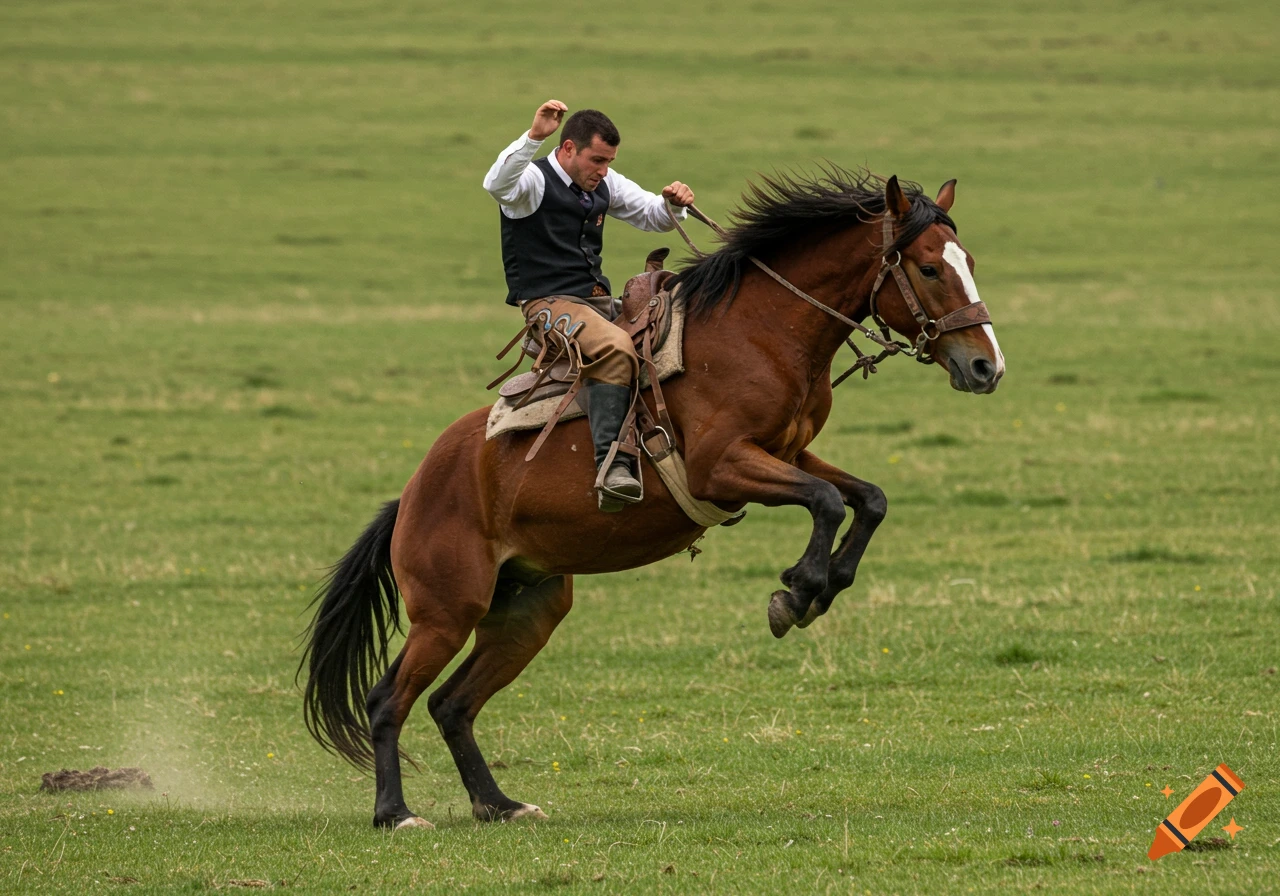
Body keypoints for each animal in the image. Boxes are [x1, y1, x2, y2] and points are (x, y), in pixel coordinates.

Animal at [299, 169, 1005, 830]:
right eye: (929, 267)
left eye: (969, 262)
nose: (986, 367)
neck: (759, 332)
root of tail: (413, 494)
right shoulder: (722, 467)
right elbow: (829, 501)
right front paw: (799, 592)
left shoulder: (787, 453)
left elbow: (867, 498)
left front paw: (823, 587)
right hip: (448, 611)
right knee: (388, 700)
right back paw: (395, 813)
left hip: (527, 612)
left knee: (452, 704)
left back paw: (499, 804)